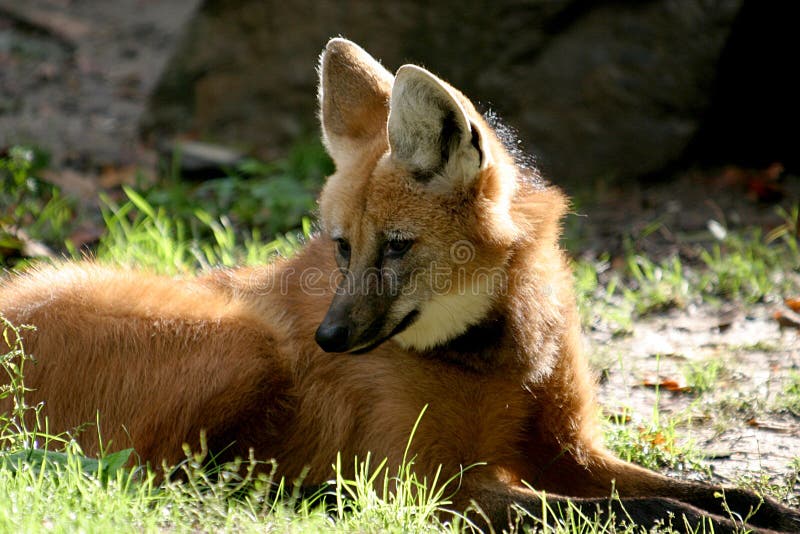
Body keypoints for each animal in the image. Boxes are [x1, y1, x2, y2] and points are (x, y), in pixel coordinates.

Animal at [1, 39, 800, 532]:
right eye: (340, 245)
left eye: (395, 246)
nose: (328, 337)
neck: (495, 350)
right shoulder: (430, 483)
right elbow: (632, 512)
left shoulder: (569, 450)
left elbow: (711, 491)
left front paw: (770, 511)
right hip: (241, 344)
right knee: (140, 473)